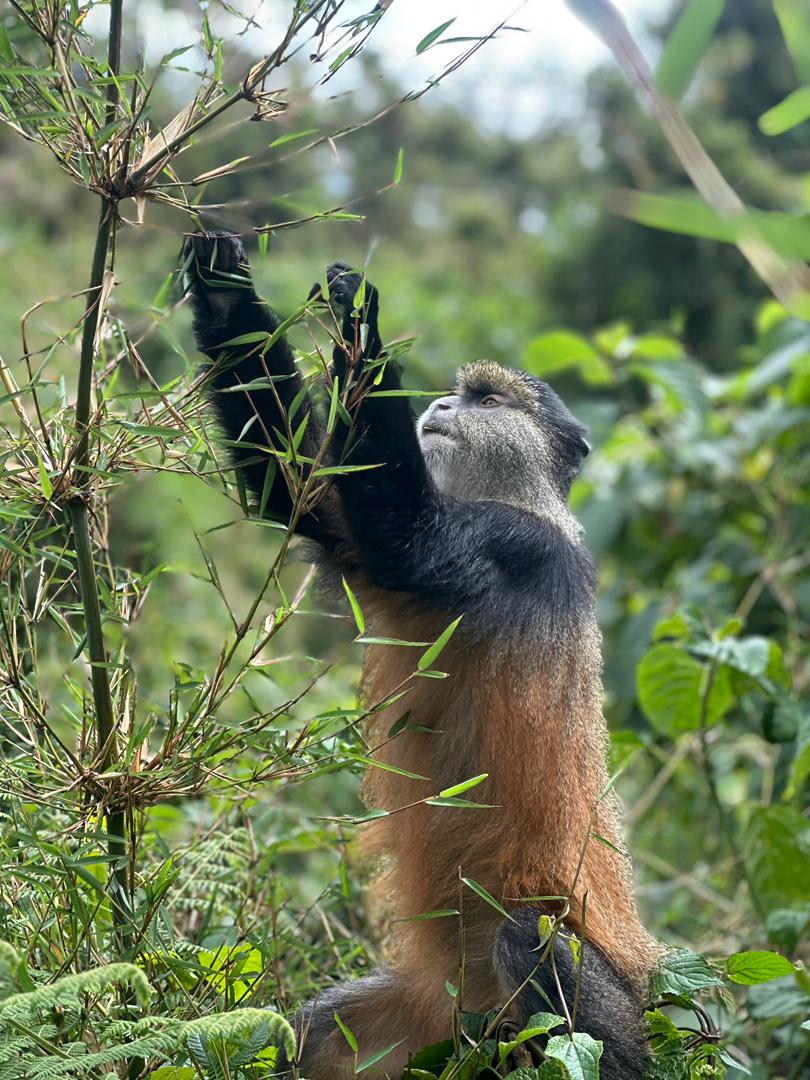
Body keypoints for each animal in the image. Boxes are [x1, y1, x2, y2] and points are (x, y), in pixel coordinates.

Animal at [181, 232, 661, 1080]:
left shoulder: (516, 545)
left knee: (531, 942)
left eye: (486, 399)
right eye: (457, 393)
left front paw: (362, 332)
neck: (521, 498)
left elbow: (401, 532)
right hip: (420, 1027)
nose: (437, 406)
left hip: (594, 1007)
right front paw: (225, 288)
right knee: (305, 1034)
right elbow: (302, 490)